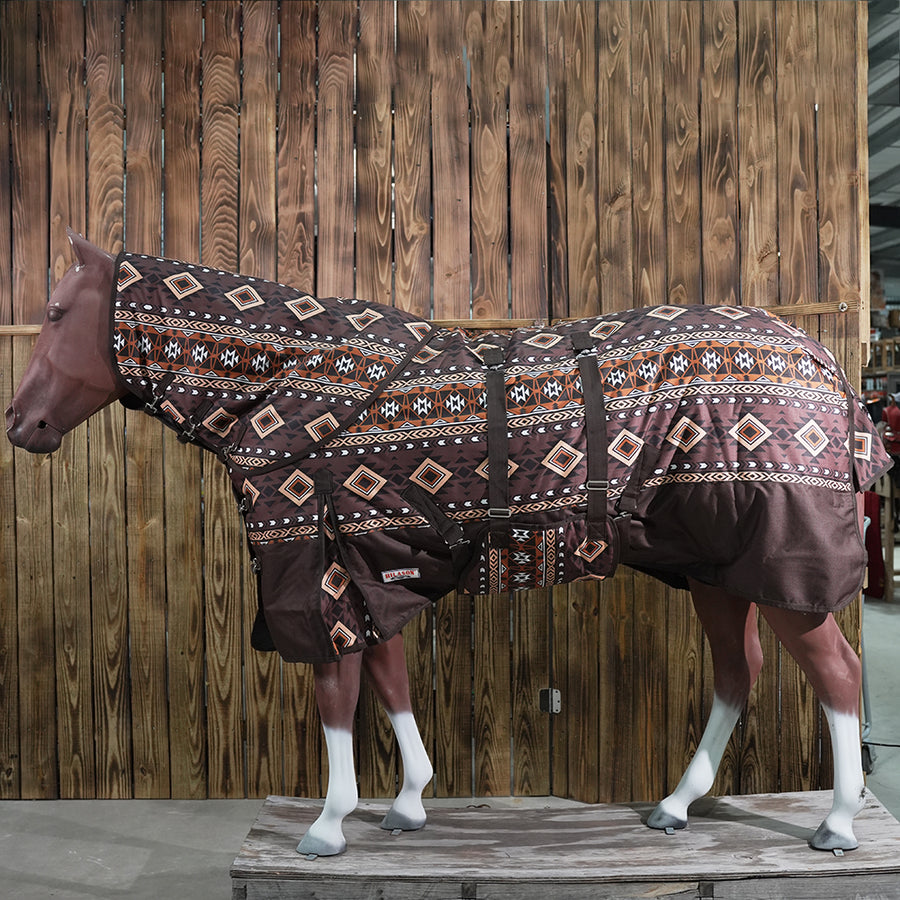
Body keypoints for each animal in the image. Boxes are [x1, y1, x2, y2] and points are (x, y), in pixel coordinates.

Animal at [6, 230, 887, 857]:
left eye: (57, 313)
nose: (22, 423)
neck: (295, 386)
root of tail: (824, 365)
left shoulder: (317, 569)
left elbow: (336, 692)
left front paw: (328, 823)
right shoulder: (369, 567)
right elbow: (389, 681)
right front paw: (406, 802)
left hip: (780, 565)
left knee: (838, 674)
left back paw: (838, 823)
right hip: (714, 567)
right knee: (742, 671)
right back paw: (674, 805)